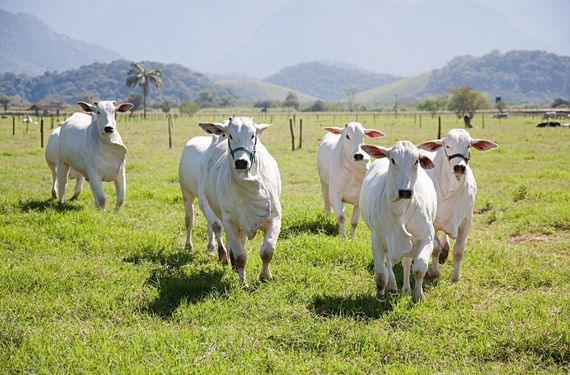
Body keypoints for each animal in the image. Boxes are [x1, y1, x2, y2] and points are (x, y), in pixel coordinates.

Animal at [197, 116, 282, 284]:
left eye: (253, 135)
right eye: (230, 136)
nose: (241, 162)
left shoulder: (275, 218)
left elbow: (267, 251)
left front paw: (265, 276)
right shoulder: (229, 222)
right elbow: (241, 256)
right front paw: (243, 282)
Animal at [360, 141, 434, 302]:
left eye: (416, 161)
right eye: (393, 160)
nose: (405, 192)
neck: (400, 211)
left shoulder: (427, 237)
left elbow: (419, 268)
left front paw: (418, 295)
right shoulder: (377, 239)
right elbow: (381, 275)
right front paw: (380, 296)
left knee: (406, 263)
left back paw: (405, 289)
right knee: (389, 262)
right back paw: (392, 285)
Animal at [414, 129, 494, 282]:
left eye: (468, 145)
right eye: (447, 146)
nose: (459, 167)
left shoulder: (466, 221)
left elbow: (459, 251)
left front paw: (455, 277)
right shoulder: (432, 222)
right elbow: (435, 248)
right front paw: (434, 272)